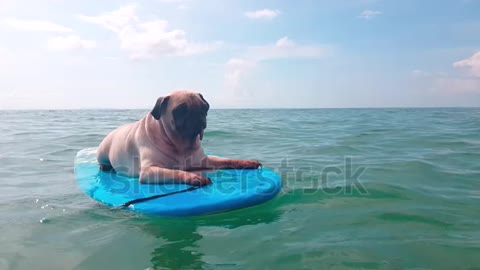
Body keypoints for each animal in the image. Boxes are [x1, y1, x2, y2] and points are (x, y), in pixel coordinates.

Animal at [95, 90, 260, 186]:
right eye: (180, 110)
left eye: (205, 107)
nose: (197, 114)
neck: (181, 144)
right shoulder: (150, 171)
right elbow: (174, 171)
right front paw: (194, 177)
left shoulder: (203, 160)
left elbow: (227, 161)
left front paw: (246, 163)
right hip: (102, 152)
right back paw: (105, 167)